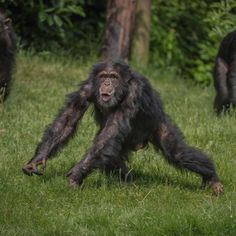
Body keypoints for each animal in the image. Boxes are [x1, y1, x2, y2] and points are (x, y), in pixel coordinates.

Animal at [22, 59, 223, 195]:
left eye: (114, 77)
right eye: (104, 76)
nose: (107, 83)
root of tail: (141, 143)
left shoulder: (134, 94)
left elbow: (112, 129)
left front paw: (76, 174)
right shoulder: (87, 88)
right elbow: (68, 119)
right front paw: (38, 159)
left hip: (158, 124)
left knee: (178, 152)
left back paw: (211, 178)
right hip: (123, 143)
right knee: (110, 155)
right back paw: (127, 182)